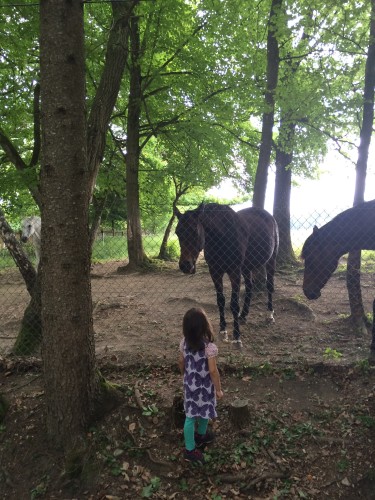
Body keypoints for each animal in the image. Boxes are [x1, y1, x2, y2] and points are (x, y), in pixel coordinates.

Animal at [174, 203, 280, 348]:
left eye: (194, 231)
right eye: (177, 232)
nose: (185, 265)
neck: (221, 237)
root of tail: (269, 216)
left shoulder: (234, 272)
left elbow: (234, 304)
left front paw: (237, 337)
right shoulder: (215, 272)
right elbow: (220, 301)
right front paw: (223, 330)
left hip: (271, 260)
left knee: (269, 286)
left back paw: (270, 314)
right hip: (246, 268)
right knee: (249, 287)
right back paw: (243, 315)